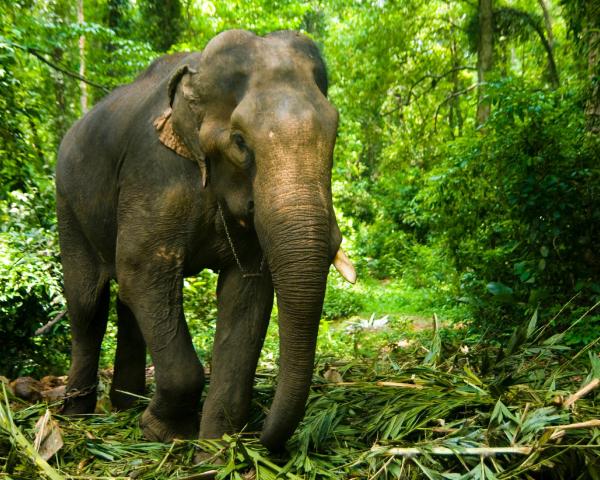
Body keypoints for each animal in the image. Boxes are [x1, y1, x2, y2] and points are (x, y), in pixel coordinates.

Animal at [55, 29, 356, 450]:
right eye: (240, 141)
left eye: (335, 134)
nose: (262, 437)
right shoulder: (155, 173)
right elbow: (142, 270)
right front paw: (162, 432)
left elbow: (246, 294)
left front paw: (215, 451)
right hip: (67, 203)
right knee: (87, 304)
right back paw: (76, 417)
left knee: (125, 301)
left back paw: (126, 404)